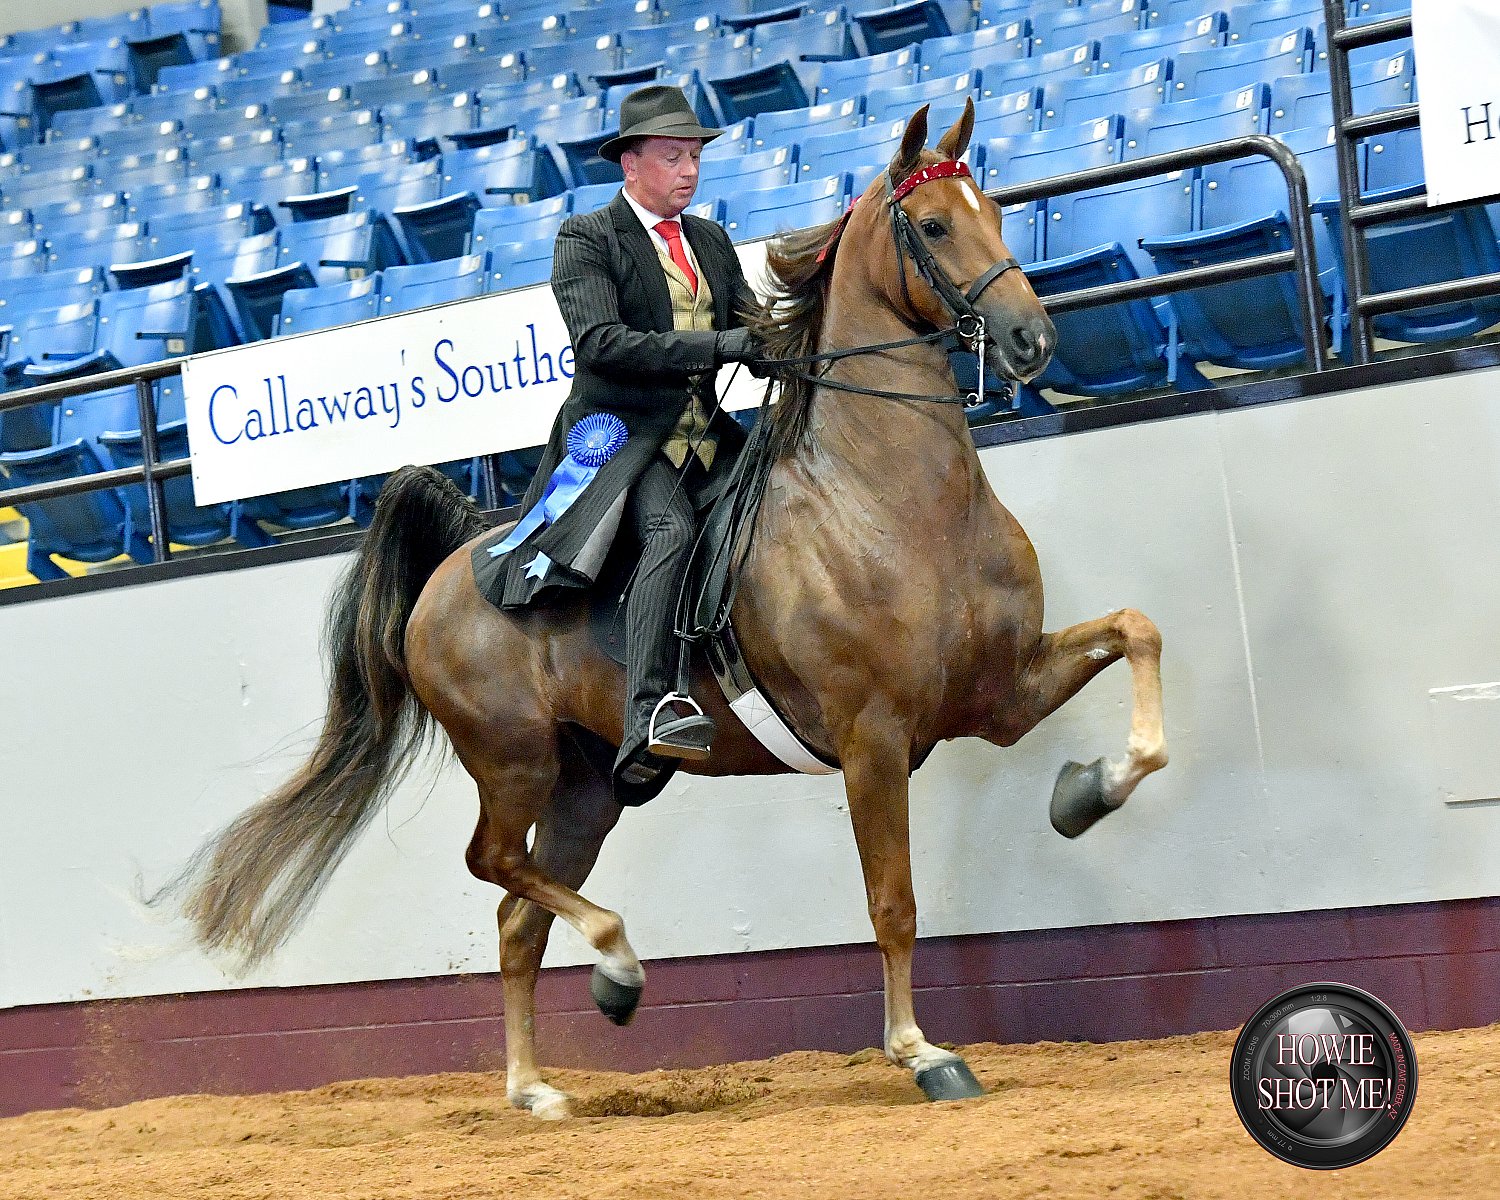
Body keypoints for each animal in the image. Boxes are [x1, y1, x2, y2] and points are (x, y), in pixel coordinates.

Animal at [170, 103, 1164, 1116]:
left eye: (995, 213)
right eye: (933, 226)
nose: (1031, 340)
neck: (894, 504)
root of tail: (458, 565)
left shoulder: (999, 694)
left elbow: (1137, 632)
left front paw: (1090, 790)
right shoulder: (874, 738)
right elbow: (894, 902)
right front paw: (923, 1052)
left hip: (587, 788)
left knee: (517, 917)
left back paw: (537, 1085)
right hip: (513, 759)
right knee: (494, 863)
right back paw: (617, 968)